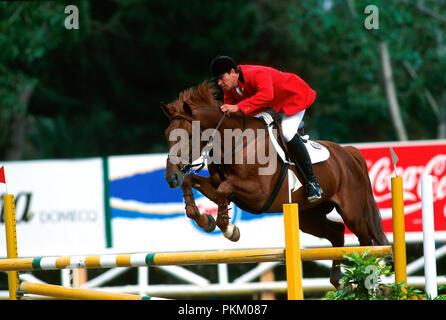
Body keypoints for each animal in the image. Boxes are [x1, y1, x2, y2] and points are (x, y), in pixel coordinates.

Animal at [161, 80, 386, 288]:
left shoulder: (258, 193)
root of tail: (347, 153)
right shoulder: (217, 184)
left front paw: (228, 228)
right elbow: (192, 182)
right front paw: (205, 220)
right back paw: (338, 279)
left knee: (365, 243)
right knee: (337, 233)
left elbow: (224, 191)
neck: (234, 143)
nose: (171, 177)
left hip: (353, 212)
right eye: (167, 135)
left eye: (189, 135)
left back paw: (366, 279)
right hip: (309, 216)